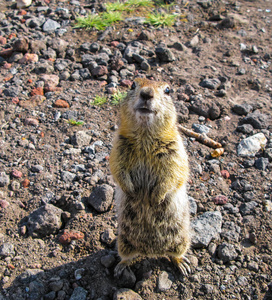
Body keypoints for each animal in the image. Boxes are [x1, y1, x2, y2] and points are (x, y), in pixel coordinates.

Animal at [109, 77, 190, 276]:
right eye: (132, 85)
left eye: (168, 90)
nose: (146, 93)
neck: (145, 136)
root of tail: (151, 252)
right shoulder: (118, 147)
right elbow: (117, 168)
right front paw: (132, 192)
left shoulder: (175, 149)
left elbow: (174, 172)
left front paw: (156, 197)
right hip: (123, 242)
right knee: (127, 256)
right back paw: (120, 267)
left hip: (181, 240)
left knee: (175, 254)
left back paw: (182, 264)